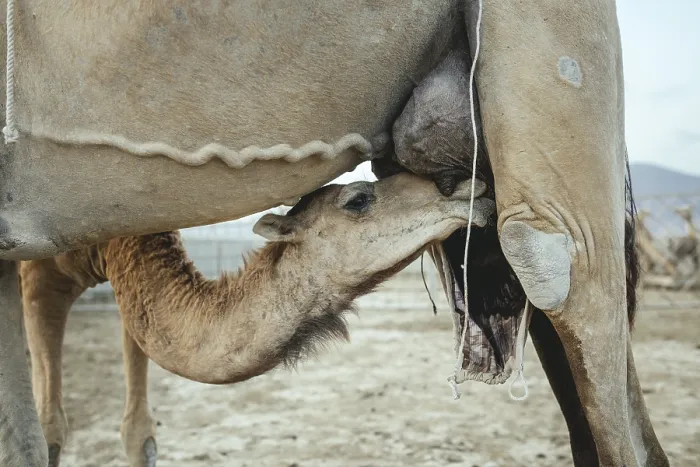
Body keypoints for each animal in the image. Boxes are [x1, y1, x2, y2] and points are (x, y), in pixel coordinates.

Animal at [20, 173, 494, 467]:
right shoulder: (38, 277)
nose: (470, 186)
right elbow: (49, 431)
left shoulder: (131, 291)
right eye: (358, 199)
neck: (114, 244)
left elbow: (139, 435)